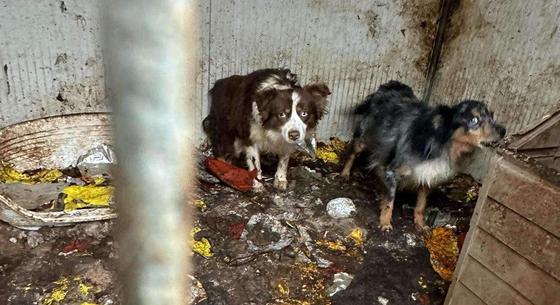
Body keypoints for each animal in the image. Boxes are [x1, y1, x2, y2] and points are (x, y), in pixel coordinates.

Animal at [342, 80, 508, 230]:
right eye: (474, 120)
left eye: (491, 116)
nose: (503, 130)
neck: (442, 144)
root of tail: (391, 84)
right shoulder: (393, 171)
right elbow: (390, 201)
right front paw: (385, 223)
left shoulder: (428, 176)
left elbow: (421, 205)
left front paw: (420, 224)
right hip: (365, 137)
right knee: (353, 150)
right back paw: (345, 173)